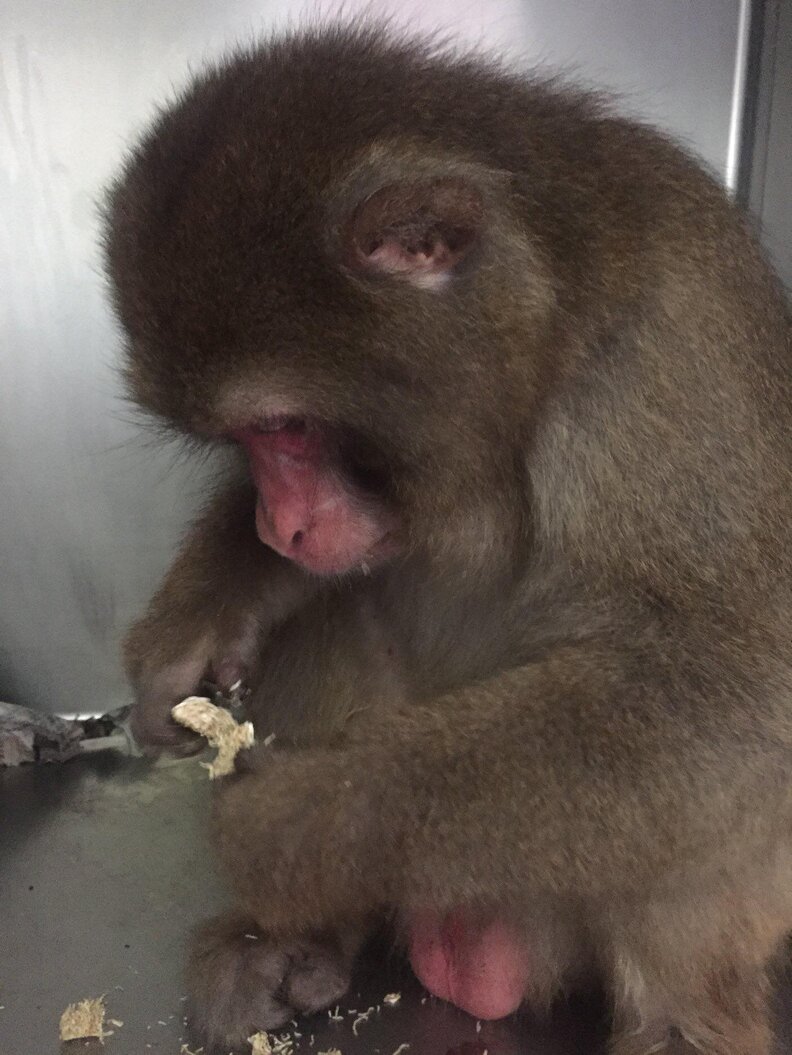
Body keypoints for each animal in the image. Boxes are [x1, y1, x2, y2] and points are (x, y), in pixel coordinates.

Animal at [102, 22, 792, 1055]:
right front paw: (193, 631)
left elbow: (730, 704)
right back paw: (294, 943)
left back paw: (683, 1021)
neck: (552, 315)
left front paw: (295, 824)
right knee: (337, 607)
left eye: (288, 427)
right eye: (249, 443)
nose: (280, 521)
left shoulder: (668, 348)